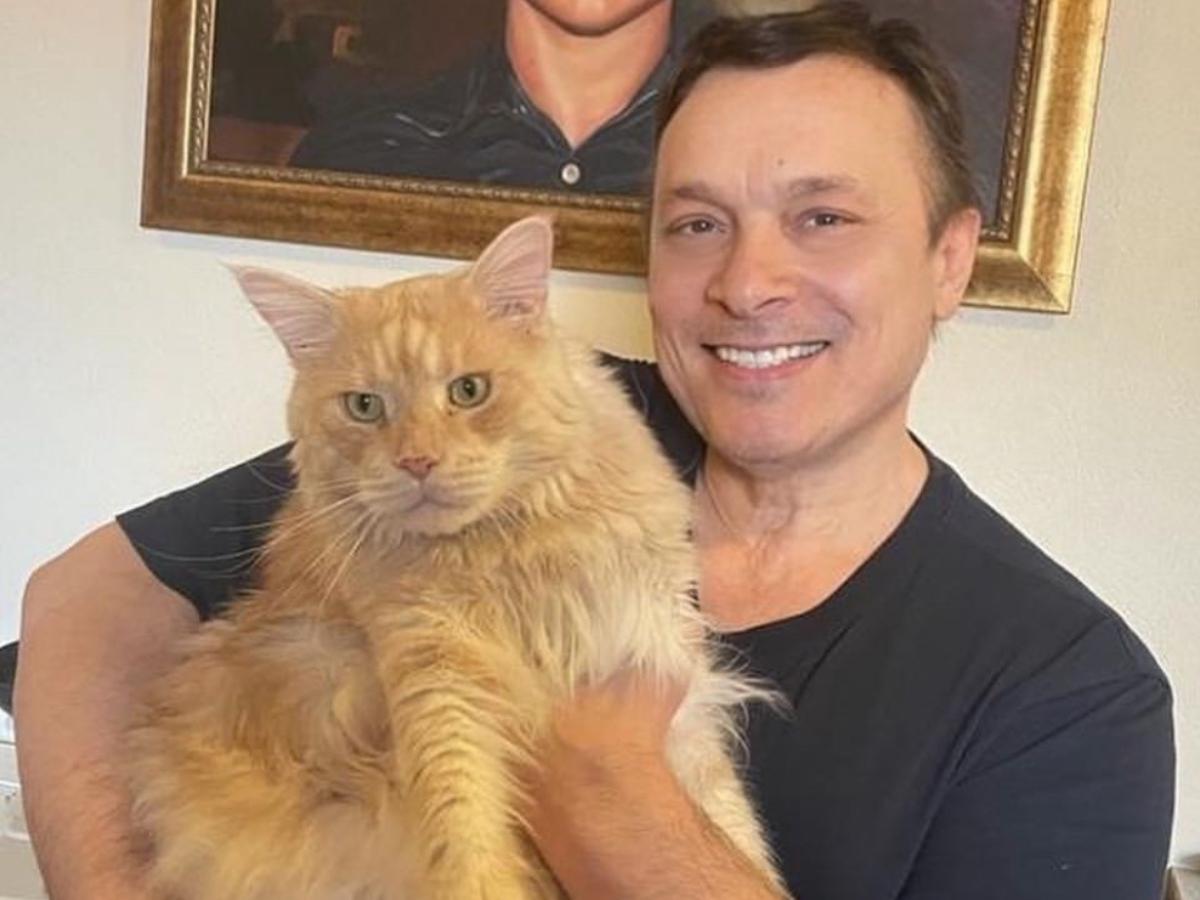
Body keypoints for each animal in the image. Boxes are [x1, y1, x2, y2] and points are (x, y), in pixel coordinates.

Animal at [128, 217, 779, 900]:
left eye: (469, 391)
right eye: (365, 406)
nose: (417, 460)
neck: (509, 553)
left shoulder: (666, 667)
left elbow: (733, 821)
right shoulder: (437, 682)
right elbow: (464, 830)